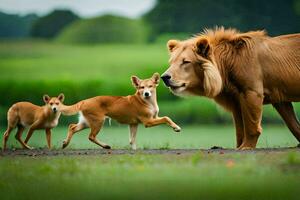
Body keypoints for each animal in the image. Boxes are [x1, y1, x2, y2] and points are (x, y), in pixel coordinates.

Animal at [162, 26, 300, 149]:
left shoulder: (252, 91)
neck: (226, 67)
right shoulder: (243, 98)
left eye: (186, 62)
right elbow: (241, 128)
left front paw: (246, 147)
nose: (165, 77)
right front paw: (239, 146)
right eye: (172, 62)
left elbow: (250, 125)